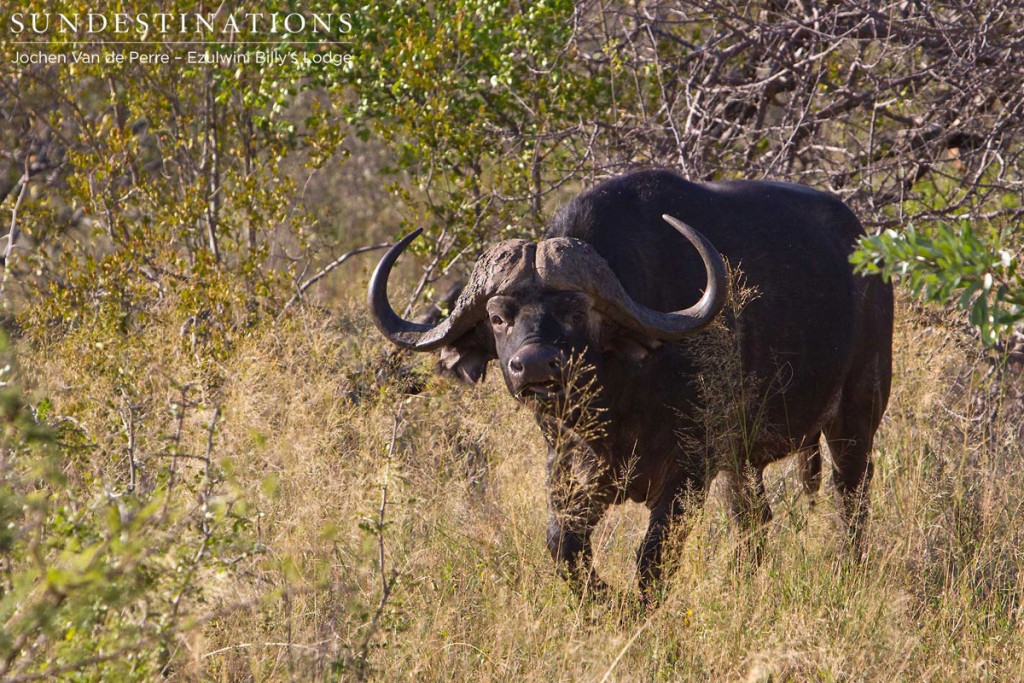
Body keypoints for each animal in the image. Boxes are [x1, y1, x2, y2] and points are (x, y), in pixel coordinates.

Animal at [368, 172, 888, 602]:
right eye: (498, 317)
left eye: (577, 310)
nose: (532, 365)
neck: (618, 405)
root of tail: (863, 246)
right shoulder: (570, 474)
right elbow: (563, 547)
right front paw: (605, 602)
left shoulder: (686, 474)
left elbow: (652, 558)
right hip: (743, 460)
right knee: (754, 519)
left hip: (855, 419)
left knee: (851, 500)